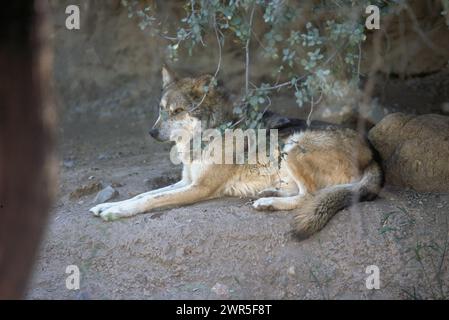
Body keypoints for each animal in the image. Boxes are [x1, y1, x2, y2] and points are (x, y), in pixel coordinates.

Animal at [88, 67, 382, 238]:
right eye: (161, 109)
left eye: (178, 111)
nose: (152, 133)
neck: (206, 136)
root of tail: (373, 153)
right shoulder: (187, 181)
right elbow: (143, 194)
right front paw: (106, 206)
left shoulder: (199, 188)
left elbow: (149, 200)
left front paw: (116, 211)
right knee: (303, 193)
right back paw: (268, 195)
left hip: (294, 145)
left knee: (310, 196)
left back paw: (268, 202)